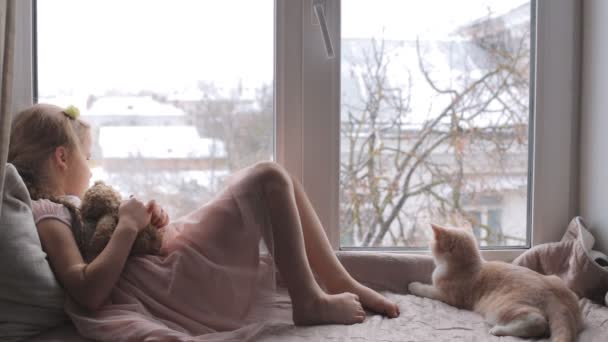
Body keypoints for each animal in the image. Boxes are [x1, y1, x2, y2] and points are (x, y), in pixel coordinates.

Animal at [408, 224, 580, 342]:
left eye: (432, 243)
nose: (427, 247)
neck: (467, 265)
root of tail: (555, 296)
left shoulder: (447, 296)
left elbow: (427, 290)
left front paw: (413, 285)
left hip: (501, 308)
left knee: (538, 322)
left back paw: (498, 330)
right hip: (555, 278)